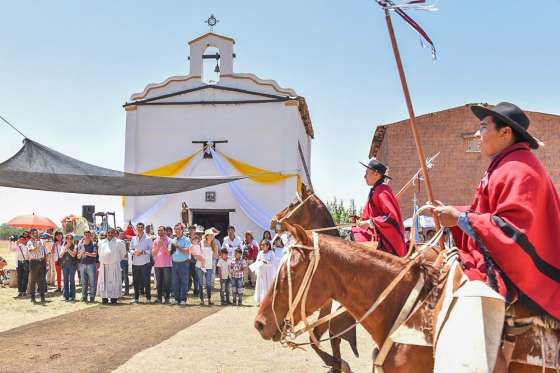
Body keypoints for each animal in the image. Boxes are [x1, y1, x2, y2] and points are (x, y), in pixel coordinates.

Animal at [272, 186, 358, 372]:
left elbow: (328, 337)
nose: (274, 221)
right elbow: (318, 338)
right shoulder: (326, 304)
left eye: (292, 205)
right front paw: (335, 364)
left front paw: (338, 363)